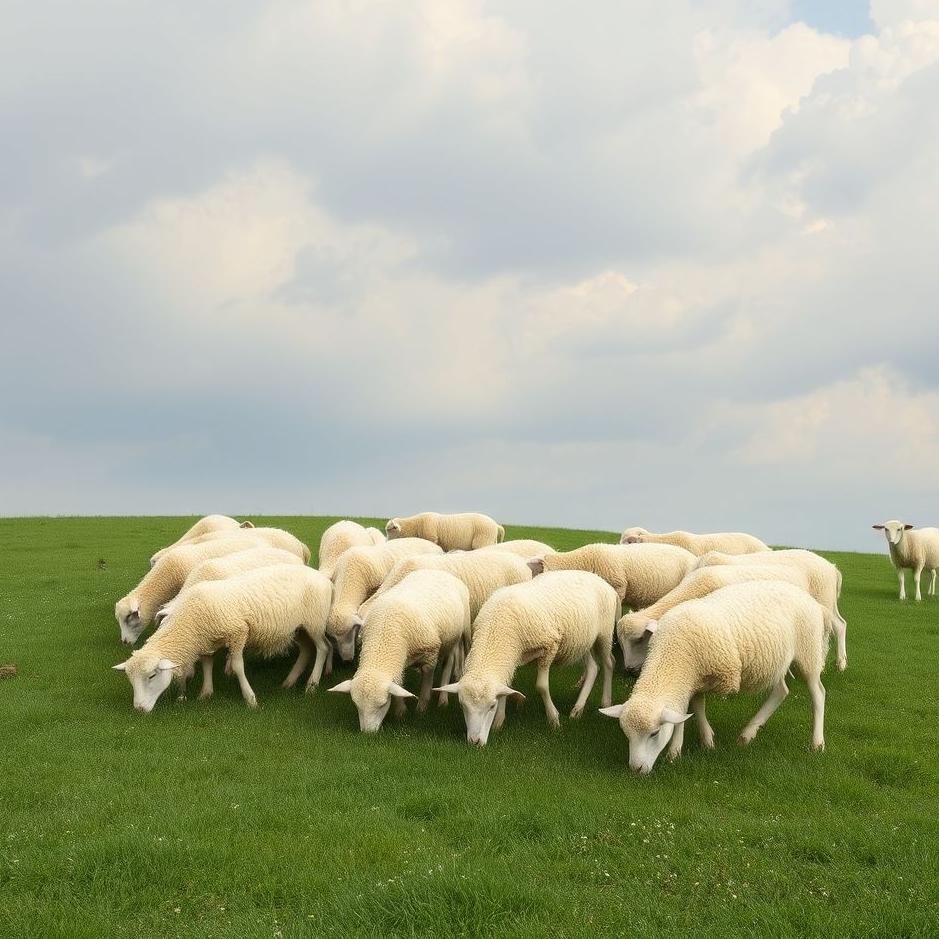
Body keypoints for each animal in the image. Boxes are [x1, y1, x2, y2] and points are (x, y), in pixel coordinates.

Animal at [113, 564, 333, 711]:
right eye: (131, 680)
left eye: (151, 676)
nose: (139, 709)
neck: (190, 620)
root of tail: (323, 578)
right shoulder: (207, 641)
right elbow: (207, 664)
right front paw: (206, 693)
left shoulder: (238, 632)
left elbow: (237, 666)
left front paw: (250, 699)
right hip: (298, 628)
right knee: (307, 649)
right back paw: (289, 682)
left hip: (314, 622)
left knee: (323, 648)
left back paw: (311, 685)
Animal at [329, 570, 471, 731]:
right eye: (357, 706)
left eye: (382, 705)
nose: (367, 733)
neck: (384, 637)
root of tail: (440, 572)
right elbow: (397, 683)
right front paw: (400, 711)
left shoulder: (430, 655)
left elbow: (426, 682)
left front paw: (421, 709)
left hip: (459, 633)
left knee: (449, 662)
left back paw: (443, 699)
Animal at [434, 571, 618, 745]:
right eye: (462, 705)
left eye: (491, 706)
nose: (474, 742)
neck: (497, 628)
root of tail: (601, 580)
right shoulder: (513, 656)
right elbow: (506, 687)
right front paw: (499, 721)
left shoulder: (550, 645)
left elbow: (542, 686)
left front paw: (553, 719)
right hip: (580, 640)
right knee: (593, 667)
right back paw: (577, 709)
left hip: (604, 634)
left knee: (609, 663)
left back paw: (605, 702)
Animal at [599, 581, 832, 773]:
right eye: (627, 734)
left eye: (655, 734)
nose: (636, 769)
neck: (673, 652)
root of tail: (811, 600)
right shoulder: (694, 678)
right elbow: (695, 706)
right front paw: (707, 740)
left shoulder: (705, 674)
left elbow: (684, 710)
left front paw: (674, 751)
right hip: (776, 661)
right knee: (781, 691)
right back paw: (748, 734)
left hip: (808, 652)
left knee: (818, 694)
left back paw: (817, 743)